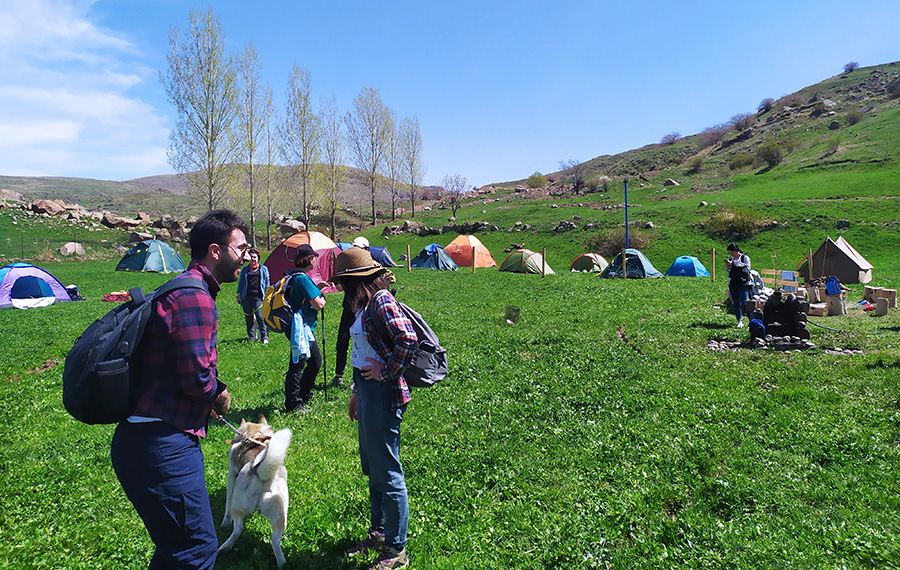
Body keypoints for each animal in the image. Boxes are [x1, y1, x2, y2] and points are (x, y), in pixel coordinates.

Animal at [218, 414, 292, 564]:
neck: (254, 435)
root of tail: (263, 474)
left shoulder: (231, 475)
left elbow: (227, 506)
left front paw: (224, 524)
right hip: (281, 515)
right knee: (275, 540)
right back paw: (282, 563)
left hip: (238, 505)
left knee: (238, 528)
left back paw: (224, 548)